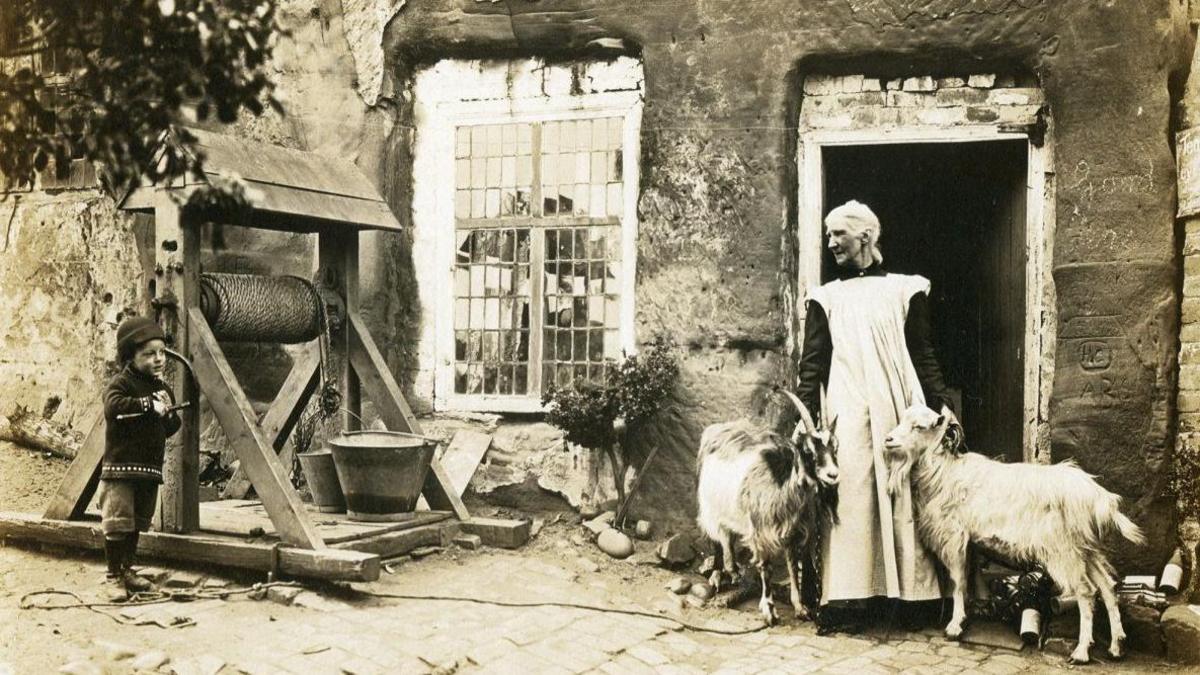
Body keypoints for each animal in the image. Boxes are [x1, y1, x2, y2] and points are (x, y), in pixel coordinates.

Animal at [700, 391, 840, 624]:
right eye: (808, 451)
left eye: (835, 448)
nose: (833, 475)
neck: (782, 483)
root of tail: (718, 429)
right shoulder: (760, 531)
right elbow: (766, 568)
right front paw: (769, 610)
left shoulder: (792, 531)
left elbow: (792, 566)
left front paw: (800, 608)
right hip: (710, 505)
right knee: (716, 538)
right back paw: (718, 574)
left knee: (728, 535)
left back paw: (734, 571)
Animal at [888, 401, 1147, 658]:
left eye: (919, 426)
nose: (888, 440)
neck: (944, 471)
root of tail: (1098, 497)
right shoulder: (969, 541)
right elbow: (970, 576)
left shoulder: (954, 536)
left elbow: (958, 581)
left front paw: (955, 625)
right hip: (1085, 548)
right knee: (1107, 586)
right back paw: (1116, 645)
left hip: (1064, 550)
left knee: (1086, 591)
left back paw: (1082, 650)